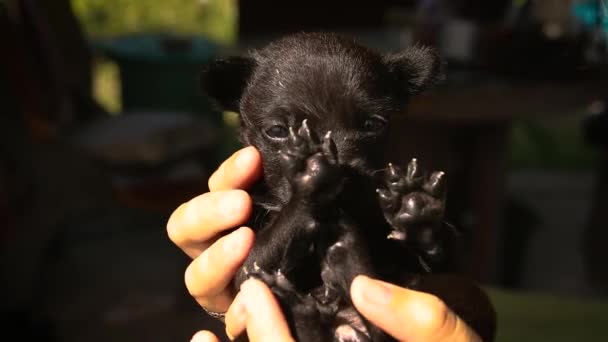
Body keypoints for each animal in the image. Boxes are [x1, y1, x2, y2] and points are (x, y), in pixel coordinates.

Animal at [200, 32, 494, 342]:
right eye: (277, 131)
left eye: (373, 124)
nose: (344, 173)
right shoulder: (246, 271)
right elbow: (266, 250)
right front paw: (310, 174)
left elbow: (434, 262)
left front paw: (418, 213)